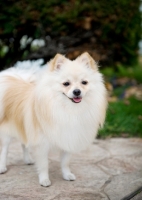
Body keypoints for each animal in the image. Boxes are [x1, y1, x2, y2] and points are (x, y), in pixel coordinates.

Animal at [0, 51, 107, 186]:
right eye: (66, 83)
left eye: (84, 82)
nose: (77, 91)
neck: (69, 110)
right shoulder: (41, 143)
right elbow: (44, 165)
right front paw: (44, 180)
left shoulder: (69, 139)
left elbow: (65, 162)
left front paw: (67, 175)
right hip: (7, 133)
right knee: (4, 150)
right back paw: (2, 167)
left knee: (24, 144)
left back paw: (28, 160)